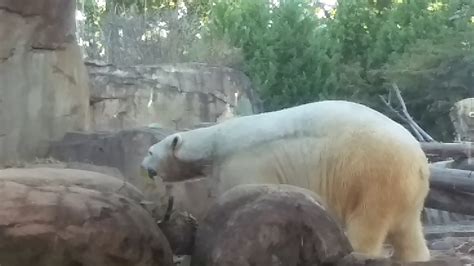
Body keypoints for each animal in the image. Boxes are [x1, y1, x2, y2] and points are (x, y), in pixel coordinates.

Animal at [140, 100, 430, 262]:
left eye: (150, 152)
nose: (144, 166)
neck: (215, 143)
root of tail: (419, 161)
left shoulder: (245, 162)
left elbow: (243, 191)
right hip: (405, 189)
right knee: (408, 231)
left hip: (373, 173)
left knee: (366, 223)